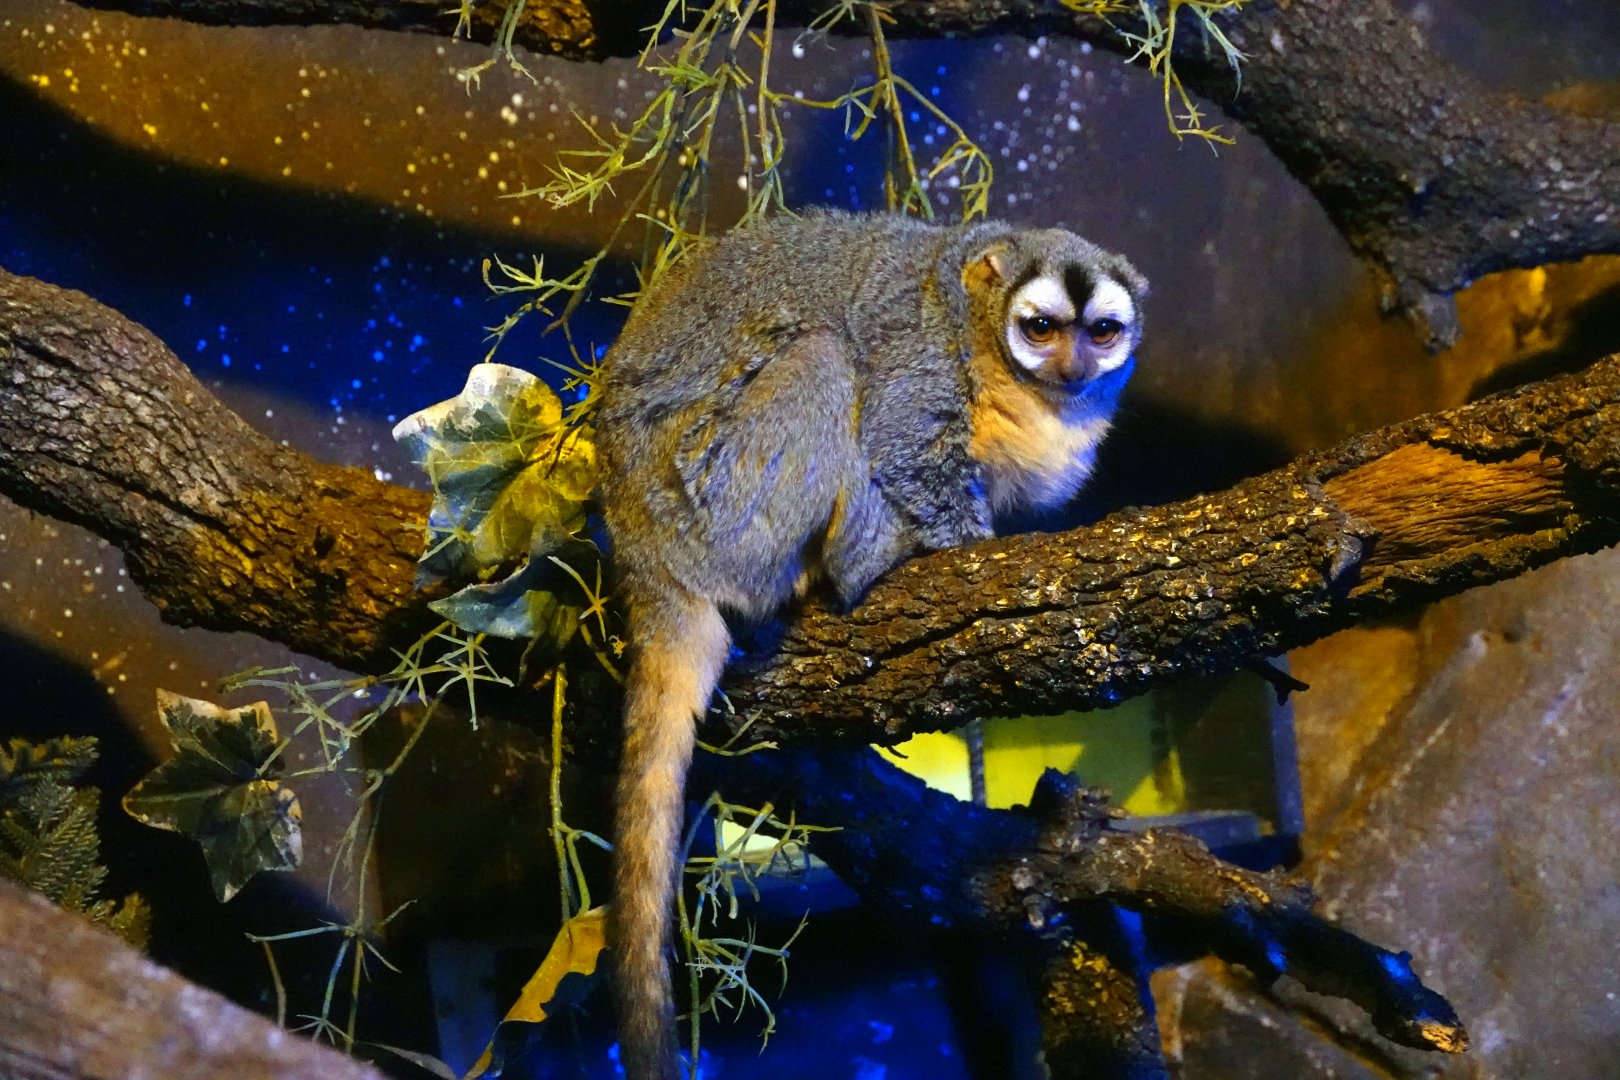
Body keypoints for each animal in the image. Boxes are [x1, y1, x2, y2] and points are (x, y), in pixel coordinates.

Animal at [593, 209, 1147, 1079]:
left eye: (1101, 332)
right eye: (1042, 328)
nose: (1073, 365)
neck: (982, 339)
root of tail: (648, 559)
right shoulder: (922, 359)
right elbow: (900, 443)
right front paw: (959, 549)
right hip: (719, 505)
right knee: (825, 356)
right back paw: (863, 564)